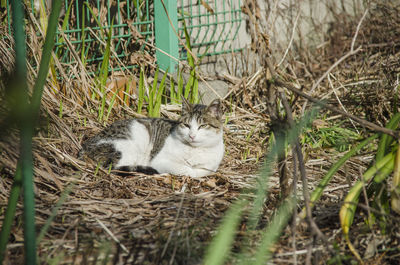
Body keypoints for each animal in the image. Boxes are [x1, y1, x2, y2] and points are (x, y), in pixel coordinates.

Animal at [80, 98, 225, 176]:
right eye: (186, 125)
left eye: (203, 126)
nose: (192, 135)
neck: (195, 150)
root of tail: (85, 145)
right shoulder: (160, 161)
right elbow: (187, 170)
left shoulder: (212, 166)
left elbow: (203, 171)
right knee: (116, 167)